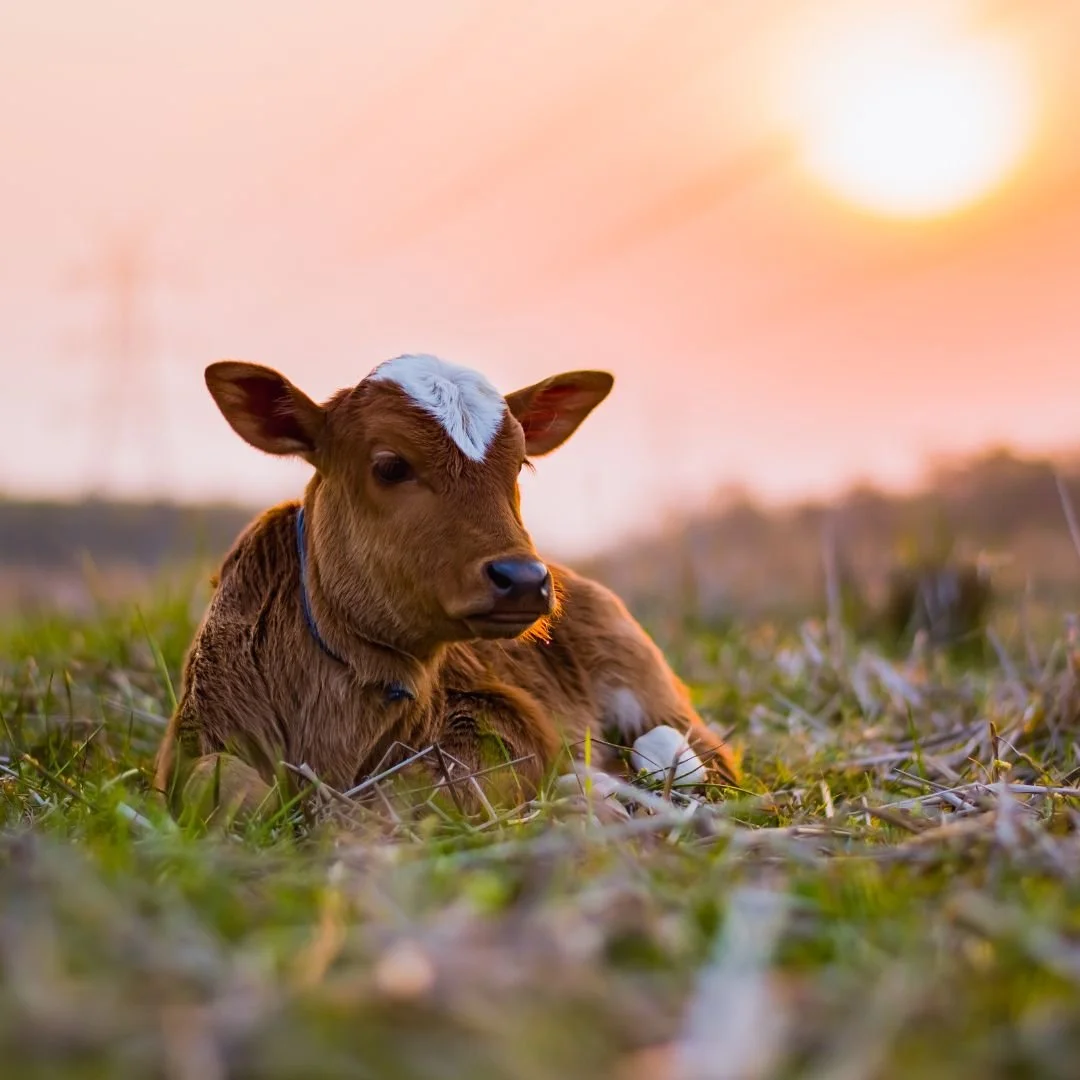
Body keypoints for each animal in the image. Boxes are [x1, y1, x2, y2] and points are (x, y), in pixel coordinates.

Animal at [154, 354, 737, 823]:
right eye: (391, 465)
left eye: (520, 463)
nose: (524, 579)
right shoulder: (195, 735)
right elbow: (221, 783)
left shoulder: (499, 716)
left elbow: (428, 787)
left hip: (646, 680)